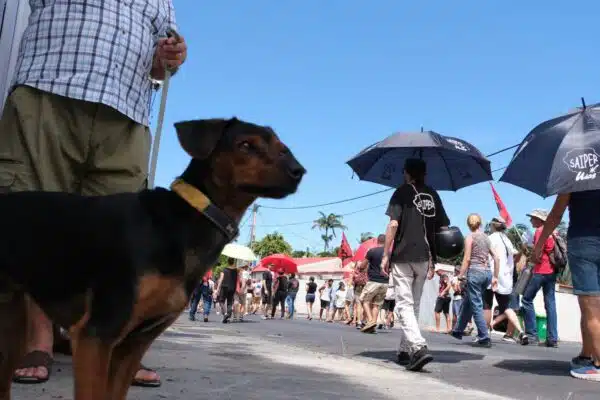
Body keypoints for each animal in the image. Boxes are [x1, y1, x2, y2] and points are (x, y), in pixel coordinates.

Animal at [0, 117, 304, 398]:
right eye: (245, 145)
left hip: (11, 328)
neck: (187, 218)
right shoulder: (96, 335)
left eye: (283, 149)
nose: (299, 171)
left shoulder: (132, 345)